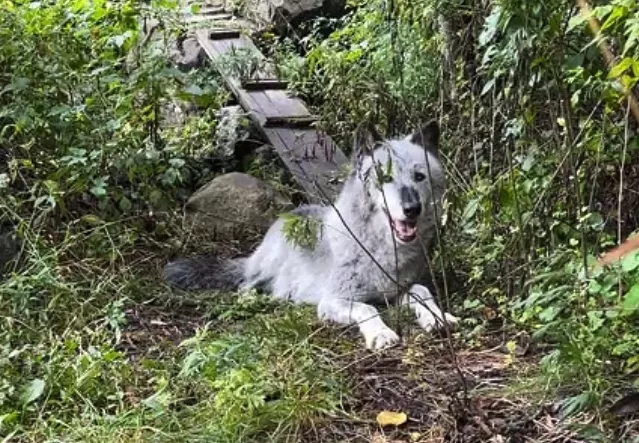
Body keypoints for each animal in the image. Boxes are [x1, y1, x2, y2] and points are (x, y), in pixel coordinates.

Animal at [162, 121, 458, 350]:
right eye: (385, 178)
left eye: (419, 176)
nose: (412, 209)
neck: (377, 248)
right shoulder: (334, 300)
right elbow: (368, 308)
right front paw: (381, 334)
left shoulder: (398, 290)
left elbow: (422, 291)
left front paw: (439, 317)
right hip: (268, 266)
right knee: (247, 282)